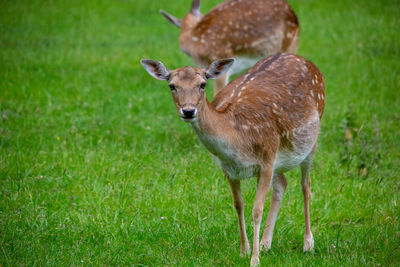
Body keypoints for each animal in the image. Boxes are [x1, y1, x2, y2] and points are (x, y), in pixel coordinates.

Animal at [141, 52, 324, 266]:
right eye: (172, 85)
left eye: (203, 84)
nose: (188, 110)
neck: (239, 142)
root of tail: (304, 60)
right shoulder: (229, 168)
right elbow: (238, 205)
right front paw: (245, 251)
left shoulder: (267, 159)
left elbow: (257, 210)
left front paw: (254, 260)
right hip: (280, 159)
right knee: (282, 183)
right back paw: (266, 244)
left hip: (311, 139)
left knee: (306, 185)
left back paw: (308, 244)